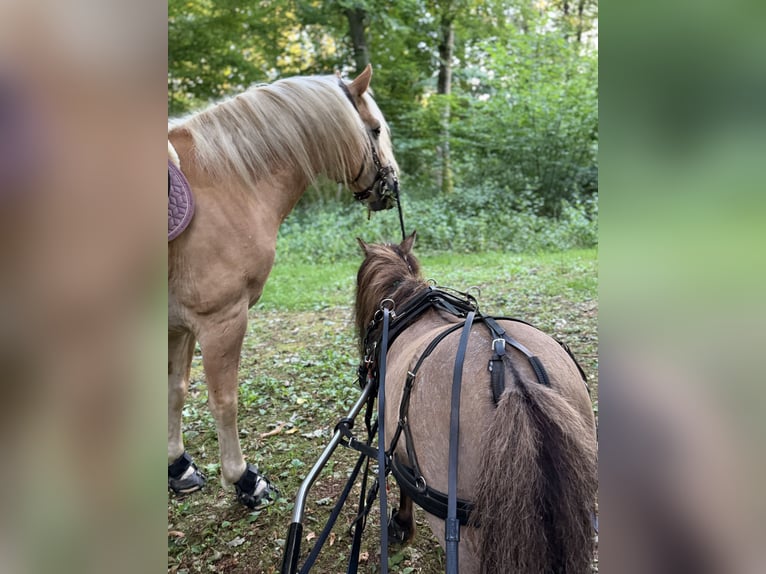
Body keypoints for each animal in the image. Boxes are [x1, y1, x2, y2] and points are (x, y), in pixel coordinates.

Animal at [168, 65, 399, 508]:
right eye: (377, 130)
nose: (392, 186)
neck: (223, 183)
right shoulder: (220, 320)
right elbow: (224, 402)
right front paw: (243, 479)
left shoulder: (178, 325)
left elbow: (176, 389)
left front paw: (178, 467)